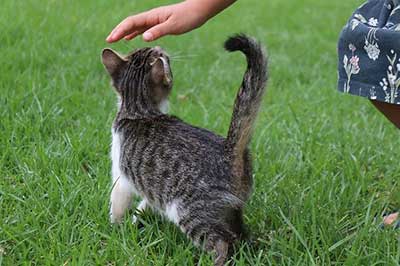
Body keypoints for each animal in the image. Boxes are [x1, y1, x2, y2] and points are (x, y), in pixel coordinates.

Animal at [101, 35, 268, 266]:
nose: (160, 46)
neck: (139, 110)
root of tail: (229, 151)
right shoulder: (156, 188)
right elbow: (146, 204)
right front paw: (137, 220)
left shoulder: (121, 175)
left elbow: (117, 202)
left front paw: (116, 229)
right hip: (230, 209)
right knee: (240, 236)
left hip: (190, 212)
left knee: (223, 243)